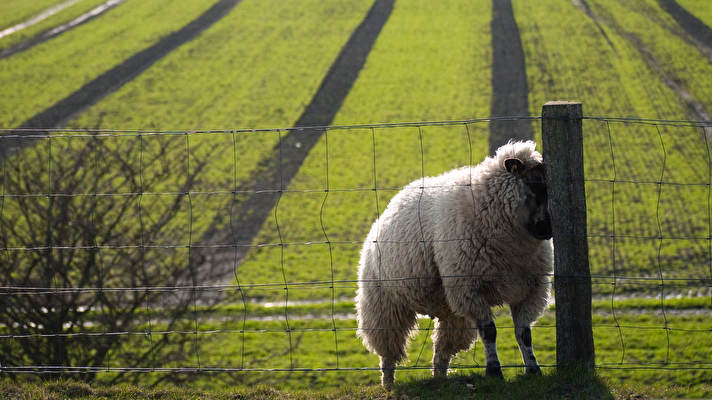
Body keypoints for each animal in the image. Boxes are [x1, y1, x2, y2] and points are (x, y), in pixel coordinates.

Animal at [356, 140, 556, 388]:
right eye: (534, 185)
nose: (548, 229)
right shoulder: (471, 288)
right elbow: (489, 332)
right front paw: (494, 371)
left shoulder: (530, 290)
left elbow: (524, 334)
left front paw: (533, 369)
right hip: (383, 304)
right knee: (388, 348)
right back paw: (389, 383)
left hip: (450, 308)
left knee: (443, 348)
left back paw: (440, 377)